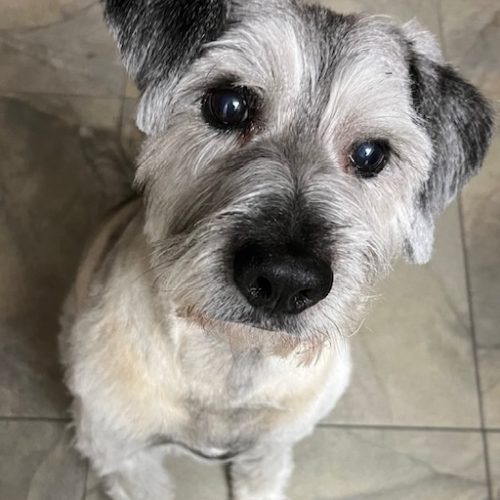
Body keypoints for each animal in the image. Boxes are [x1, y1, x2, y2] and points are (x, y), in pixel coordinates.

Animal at [59, 1, 494, 498]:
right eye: (228, 105)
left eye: (371, 154)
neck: (230, 359)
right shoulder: (124, 456)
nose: (285, 280)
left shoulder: (272, 447)